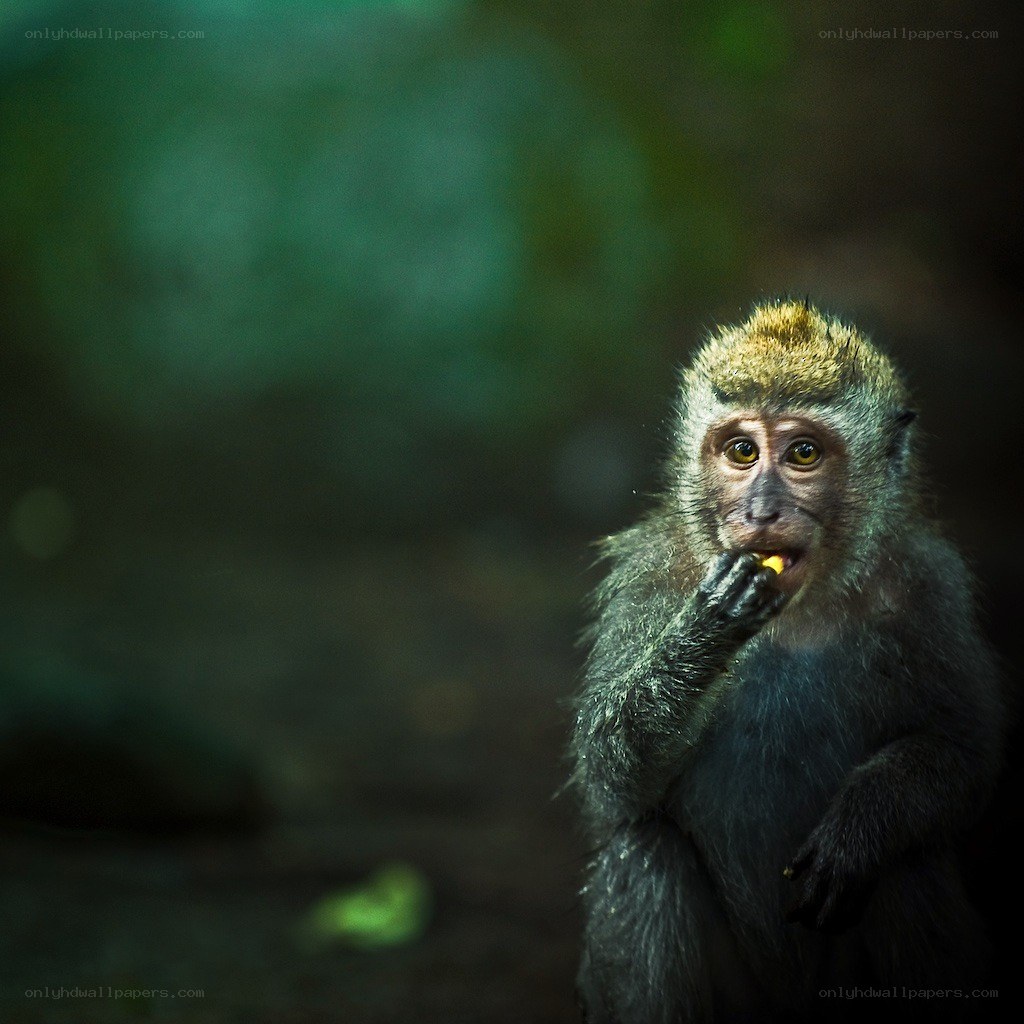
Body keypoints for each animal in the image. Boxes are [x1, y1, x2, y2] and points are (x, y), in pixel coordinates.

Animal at [569, 300, 1004, 1023]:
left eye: (804, 453)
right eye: (742, 451)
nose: (762, 511)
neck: (796, 612)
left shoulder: (926, 584)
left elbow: (963, 749)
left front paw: (860, 828)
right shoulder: (649, 577)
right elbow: (610, 775)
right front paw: (709, 627)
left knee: (908, 867)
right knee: (645, 854)